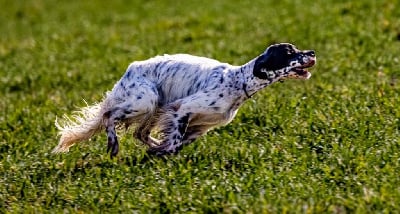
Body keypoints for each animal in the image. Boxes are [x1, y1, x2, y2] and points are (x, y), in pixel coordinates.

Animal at [53, 43, 316, 157]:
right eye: (289, 52)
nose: (312, 53)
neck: (238, 81)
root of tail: (130, 69)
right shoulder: (183, 108)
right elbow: (175, 142)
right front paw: (161, 153)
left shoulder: (199, 126)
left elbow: (176, 141)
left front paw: (158, 150)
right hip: (145, 100)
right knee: (109, 115)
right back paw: (113, 145)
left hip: (155, 107)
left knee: (140, 133)